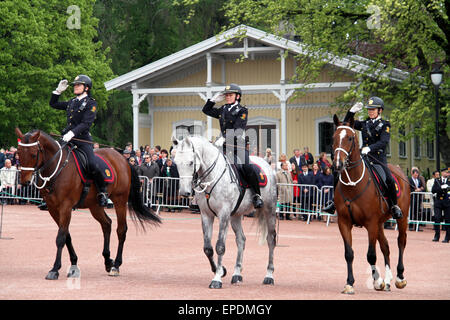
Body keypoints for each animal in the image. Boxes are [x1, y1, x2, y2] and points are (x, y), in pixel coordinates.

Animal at [15, 127, 162, 280]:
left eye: (33, 154)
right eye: (19, 153)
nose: (24, 182)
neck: (58, 167)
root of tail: (123, 158)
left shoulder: (65, 207)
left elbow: (61, 237)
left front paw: (55, 269)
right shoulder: (53, 208)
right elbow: (67, 236)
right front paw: (73, 264)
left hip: (120, 200)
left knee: (121, 230)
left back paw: (116, 265)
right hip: (95, 205)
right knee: (107, 224)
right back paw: (108, 260)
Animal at [172, 136, 278, 288]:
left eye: (191, 162)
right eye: (176, 163)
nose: (184, 192)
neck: (211, 178)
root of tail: (266, 163)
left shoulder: (223, 214)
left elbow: (220, 246)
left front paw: (217, 279)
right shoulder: (206, 215)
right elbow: (208, 248)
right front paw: (220, 270)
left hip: (269, 210)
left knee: (271, 239)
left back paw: (269, 275)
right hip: (235, 216)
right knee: (241, 240)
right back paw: (237, 274)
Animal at [332, 115, 410, 296]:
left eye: (350, 138)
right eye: (333, 138)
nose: (338, 164)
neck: (353, 184)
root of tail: (399, 171)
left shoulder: (371, 223)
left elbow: (371, 255)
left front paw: (377, 281)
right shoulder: (344, 222)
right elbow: (349, 253)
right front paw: (349, 283)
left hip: (401, 218)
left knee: (401, 242)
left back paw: (399, 278)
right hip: (380, 224)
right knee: (386, 247)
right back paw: (388, 281)